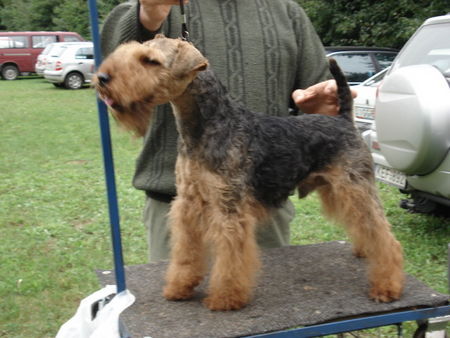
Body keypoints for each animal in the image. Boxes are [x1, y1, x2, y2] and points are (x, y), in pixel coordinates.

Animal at [95, 35, 404, 310]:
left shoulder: (229, 207)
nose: (102, 78)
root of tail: (344, 120)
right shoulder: (188, 204)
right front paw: (179, 287)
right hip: (339, 190)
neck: (206, 127)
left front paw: (225, 298)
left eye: (151, 60)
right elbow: (185, 253)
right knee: (367, 229)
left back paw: (386, 286)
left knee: (385, 237)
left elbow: (230, 260)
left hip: (355, 188)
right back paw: (366, 253)